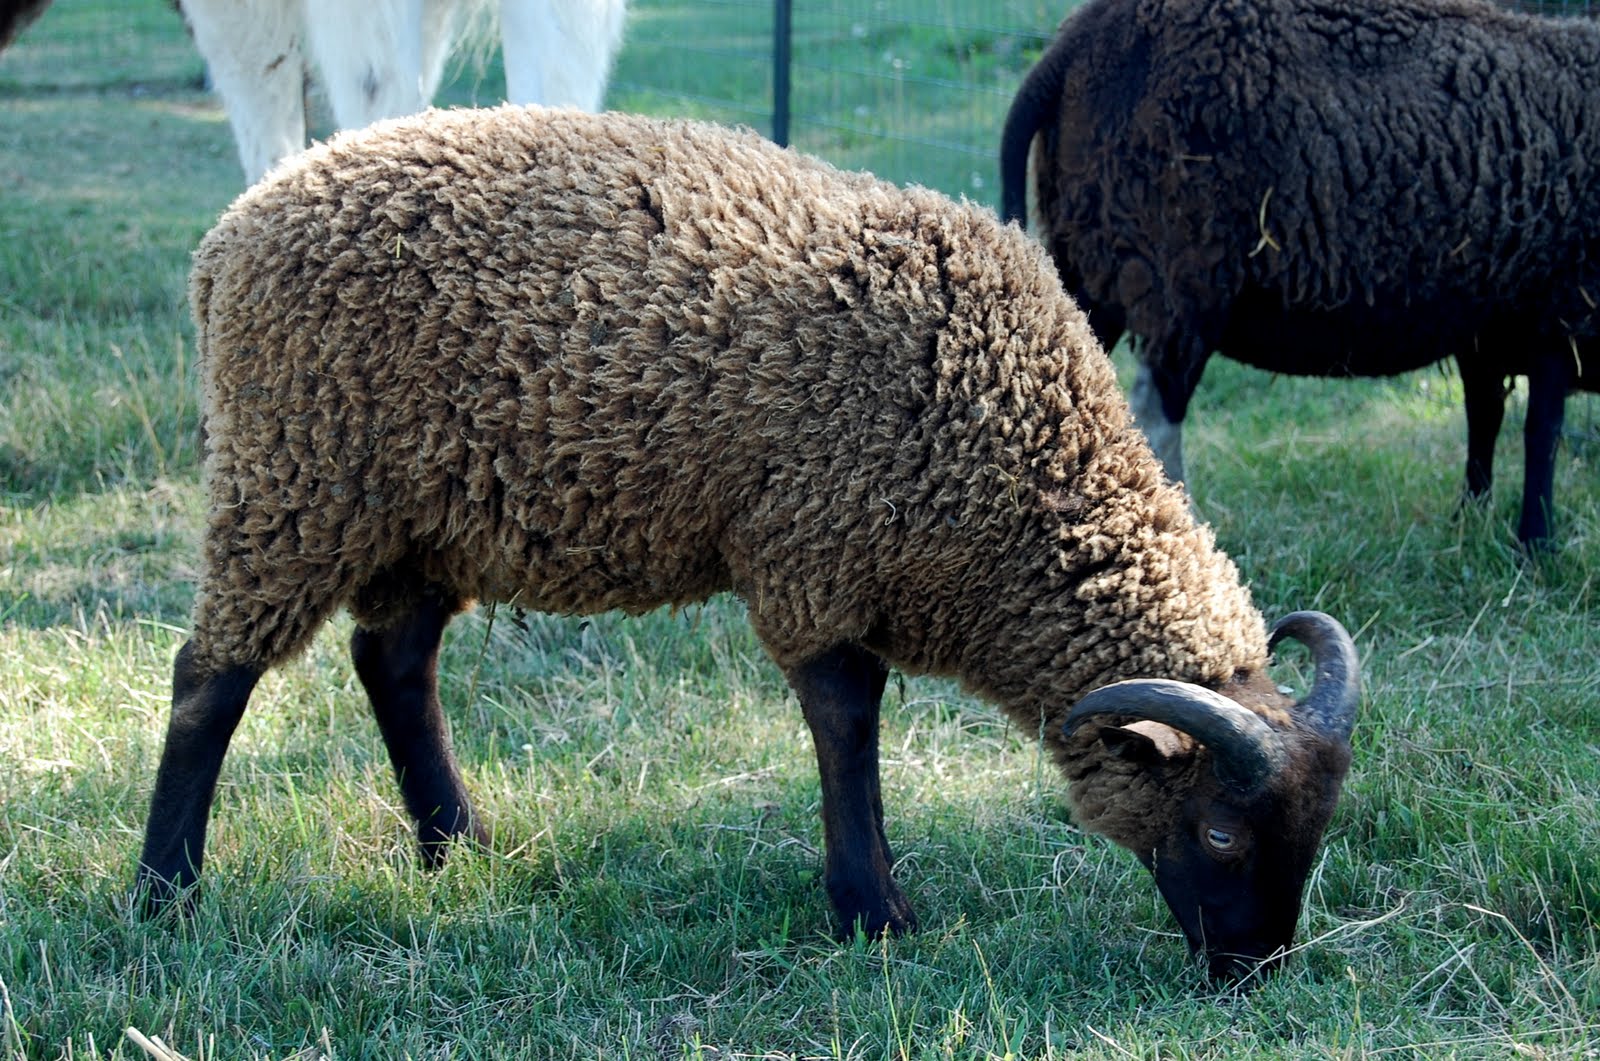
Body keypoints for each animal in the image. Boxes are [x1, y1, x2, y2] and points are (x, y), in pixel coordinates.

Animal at [136, 105, 1362, 980]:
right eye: (1218, 832)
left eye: (1314, 832)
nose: (1248, 970)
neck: (1014, 452)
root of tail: (230, 235)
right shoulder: (813, 551)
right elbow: (845, 720)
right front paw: (873, 911)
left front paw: (870, 903)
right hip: (298, 477)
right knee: (210, 675)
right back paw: (166, 894)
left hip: (426, 510)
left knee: (391, 660)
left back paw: (459, 848)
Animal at [999, 0, 1599, 546]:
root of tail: (1073, 42)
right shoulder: (1560, 314)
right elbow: (1541, 432)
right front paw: (1536, 542)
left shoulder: (1487, 328)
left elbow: (1485, 419)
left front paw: (1471, 519)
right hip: (1176, 274)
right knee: (1155, 405)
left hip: (1091, 258)